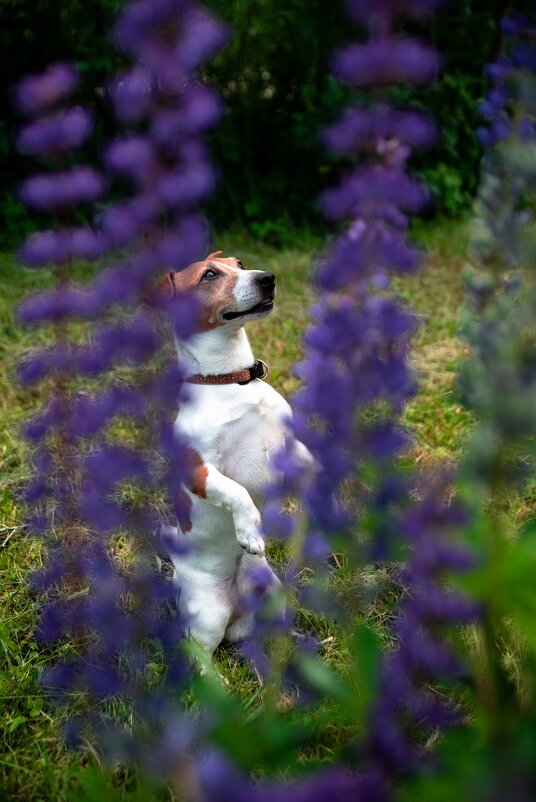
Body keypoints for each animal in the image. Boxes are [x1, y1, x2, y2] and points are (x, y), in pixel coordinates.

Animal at [155, 252, 312, 656]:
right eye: (209, 274)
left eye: (239, 263)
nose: (267, 278)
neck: (229, 380)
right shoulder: (200, 470)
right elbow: (237, 492)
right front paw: (250, 531)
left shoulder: (288, 443)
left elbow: (312, 461)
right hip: (208, 617)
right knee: (199, 652)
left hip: (271, 589)